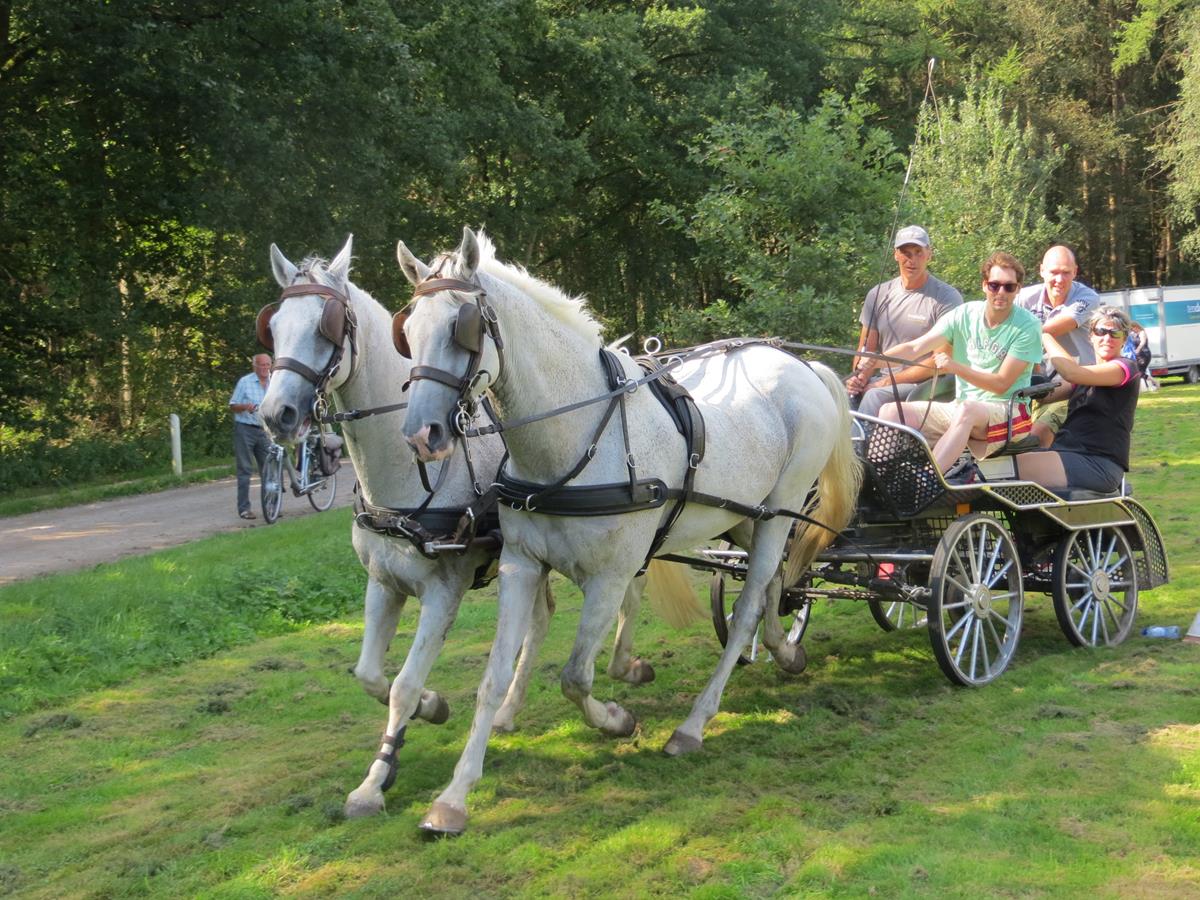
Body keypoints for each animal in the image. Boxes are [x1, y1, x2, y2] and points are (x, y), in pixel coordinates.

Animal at [398, 229, 859, 835]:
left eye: (463, 327)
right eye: (407, 331)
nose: (421, 435)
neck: (572, 440)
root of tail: (802, 366)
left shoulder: (611, 577)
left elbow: (575, 677)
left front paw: (617, 719)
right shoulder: (522, 564)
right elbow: (494, 677)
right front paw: (454, 797)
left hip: (778, 514)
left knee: (747, 609)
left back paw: (693, 724)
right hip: (744, 518)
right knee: (776, 587)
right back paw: (785, 651)